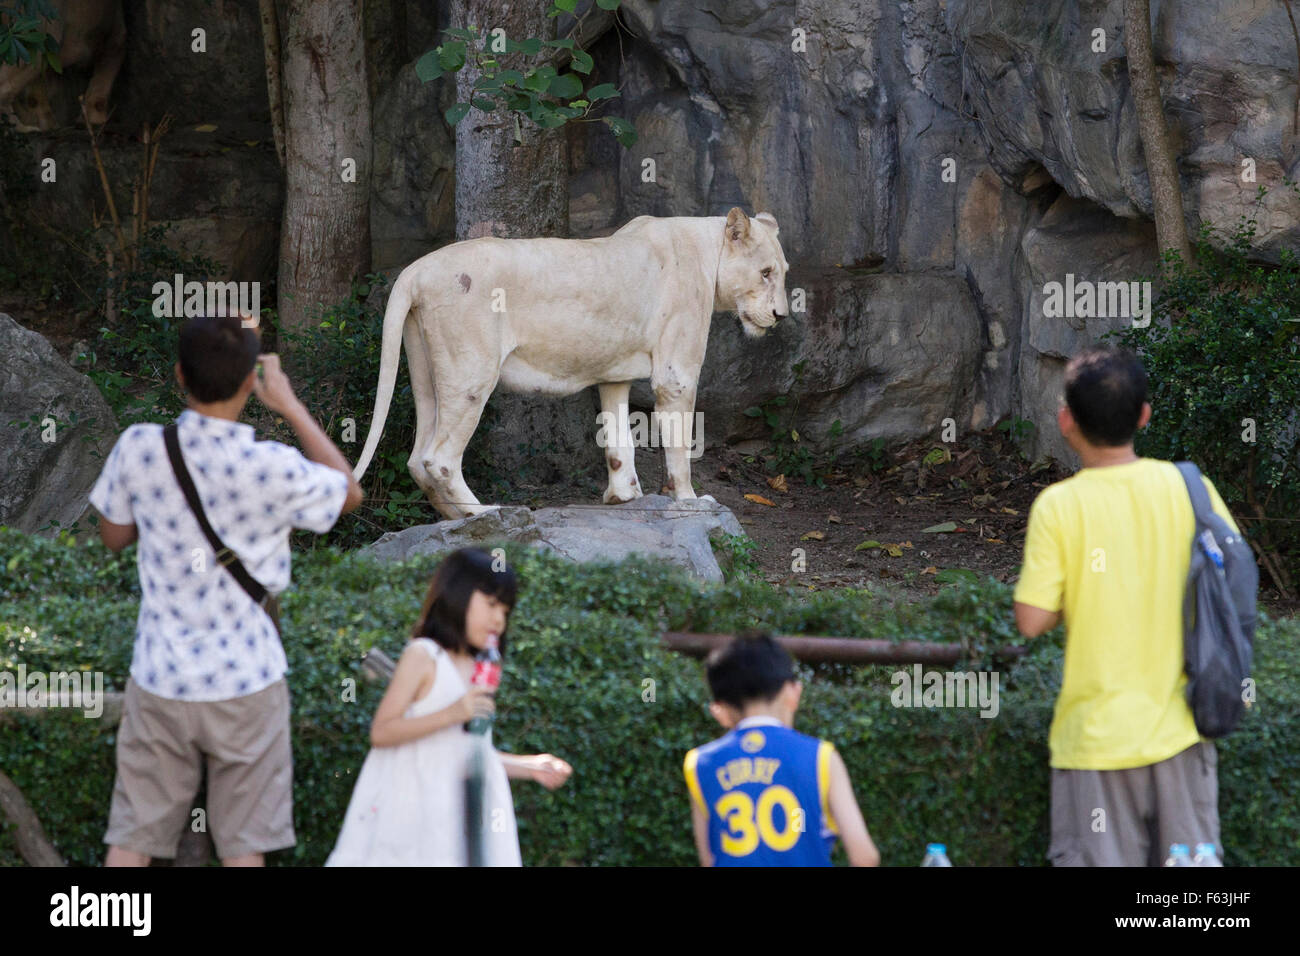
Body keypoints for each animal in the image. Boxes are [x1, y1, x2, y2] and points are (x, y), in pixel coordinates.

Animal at [351, 209, 785, 520]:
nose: (781, 315)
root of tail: (414, 270)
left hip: (424, 369)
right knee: (438, 458)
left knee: (417, 459)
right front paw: (691, 502)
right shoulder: (675, 375)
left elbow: (618, 437)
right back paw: (485, 513)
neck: (707, 253)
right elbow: (678, 448)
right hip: (470, 373)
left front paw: (624, 495)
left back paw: (454, 519)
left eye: (782, 274)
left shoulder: (614, 375)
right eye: (765, 273)